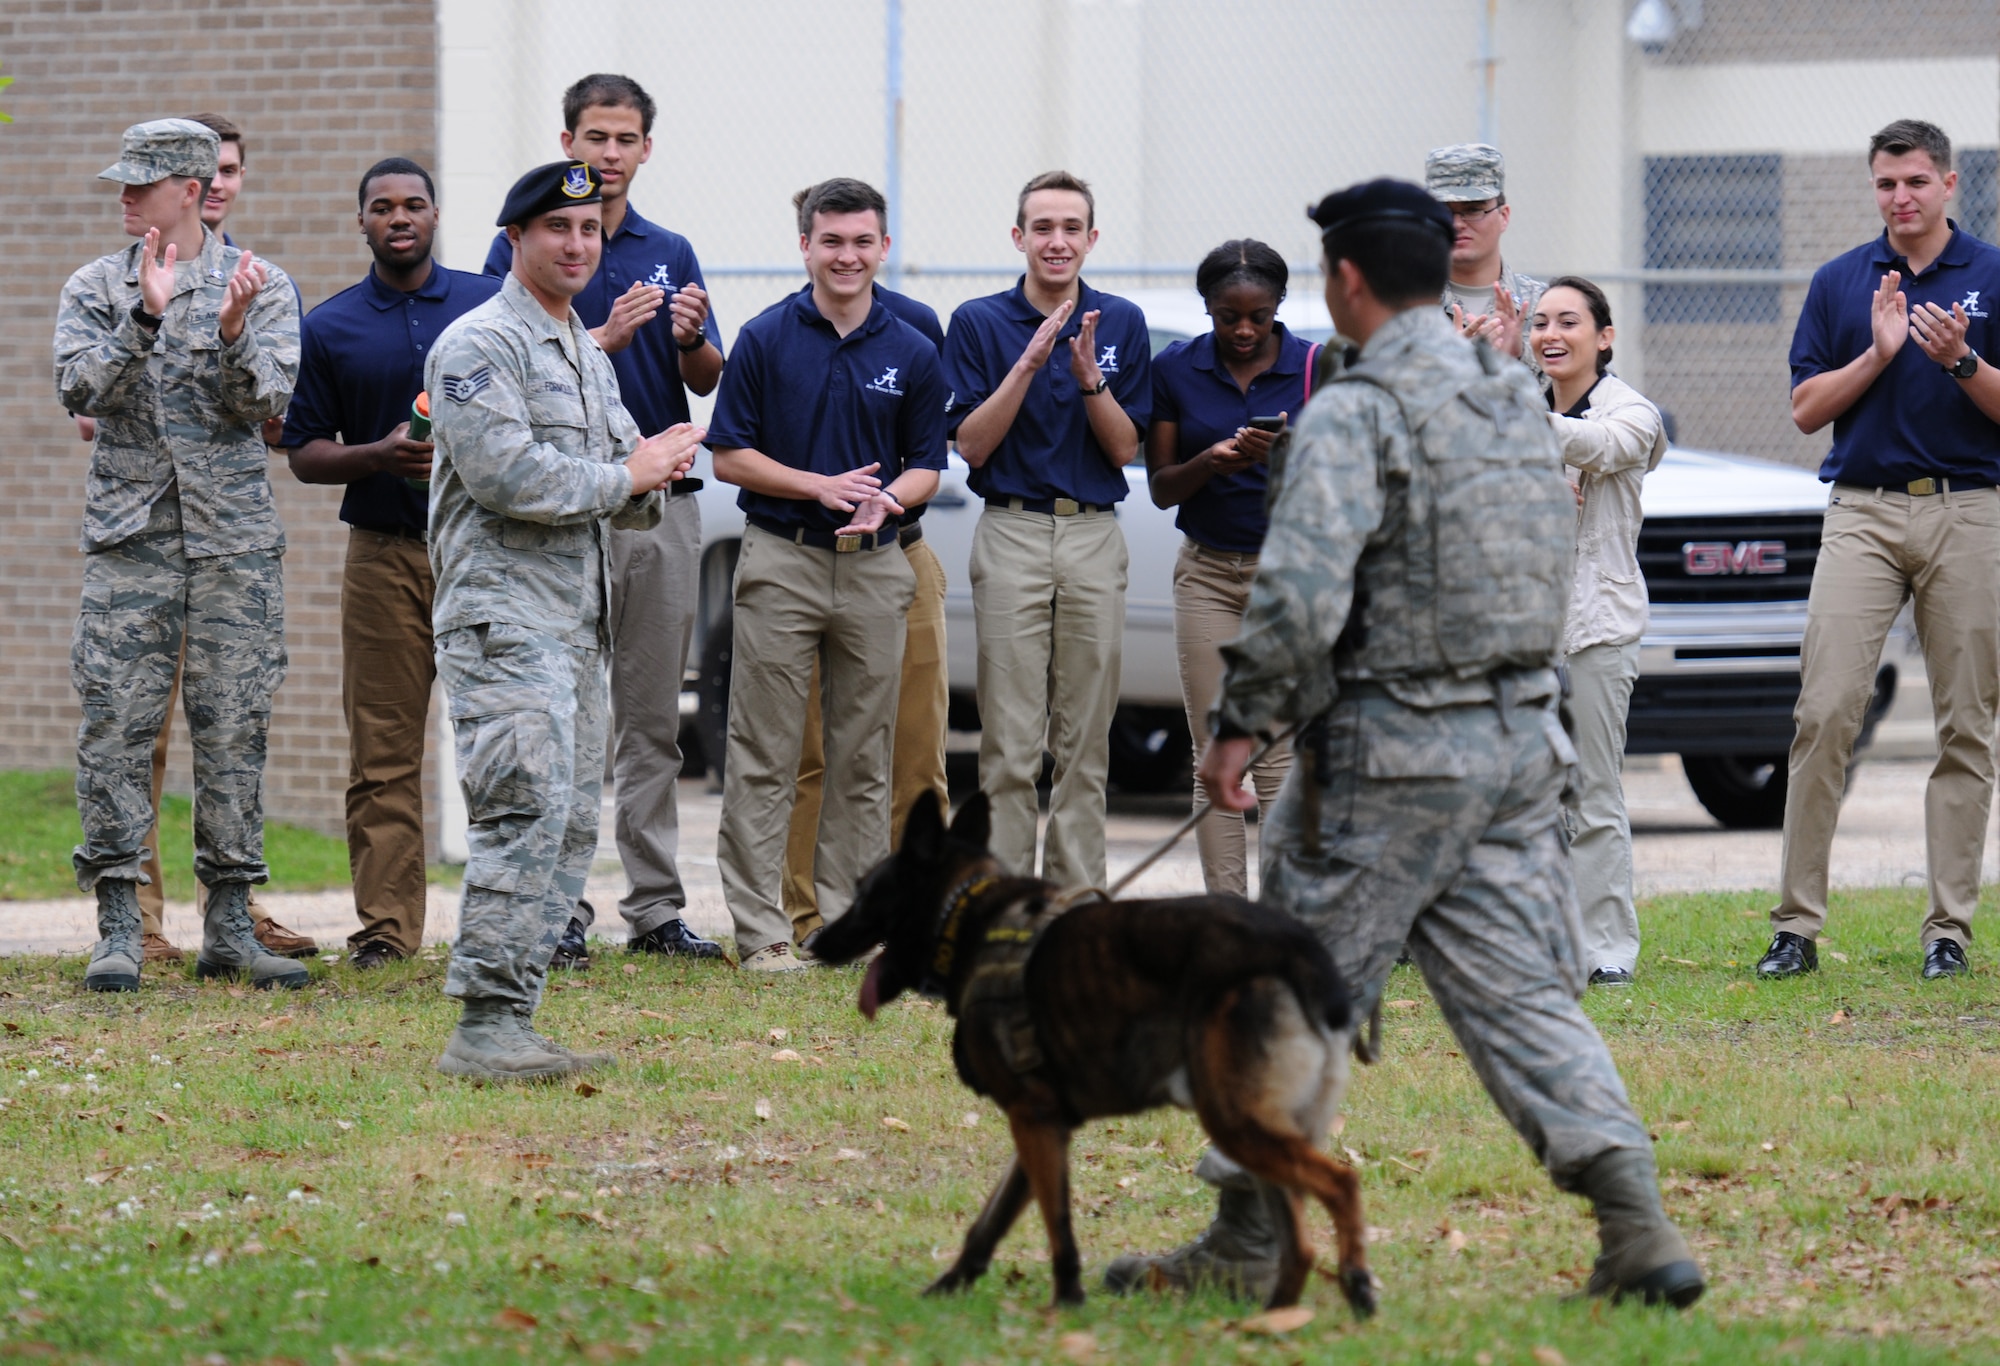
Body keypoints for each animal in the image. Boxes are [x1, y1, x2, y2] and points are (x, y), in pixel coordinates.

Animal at [812, 796, 1376, 1320]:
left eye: (864, 892)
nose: (816, 942)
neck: (968, 915)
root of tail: (1300, 954)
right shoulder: (1040, 1125)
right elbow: (990, 1221)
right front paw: (950, 1288)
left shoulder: (1034, 1119)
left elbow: (1058, 1225)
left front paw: (1066, 1304)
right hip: (1257, 1129)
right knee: (1299, 1243)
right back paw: (1272, 1321)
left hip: (1236, 1122)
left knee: (1342, 1184)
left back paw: (1355, 1285)